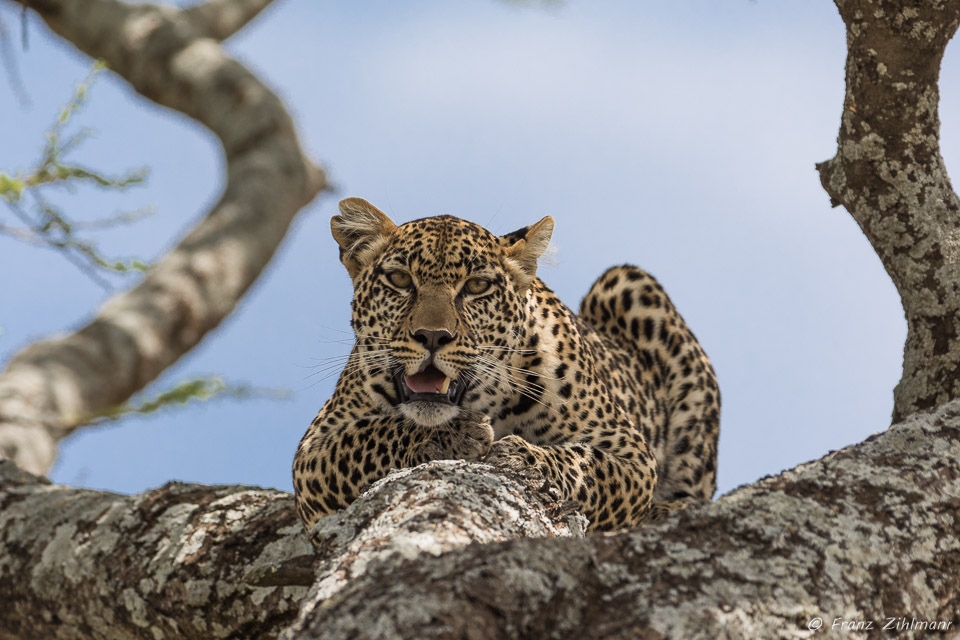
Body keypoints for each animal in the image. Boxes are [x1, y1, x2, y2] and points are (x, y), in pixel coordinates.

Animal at [294, 198, 720, 536]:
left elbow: (586, 465)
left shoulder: (632, 455)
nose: (432, 336)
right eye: (400, 279)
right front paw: (450, 437)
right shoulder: (312, 453)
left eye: (477, 286)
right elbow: (368, 439)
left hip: (628, 281)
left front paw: (520, 456)